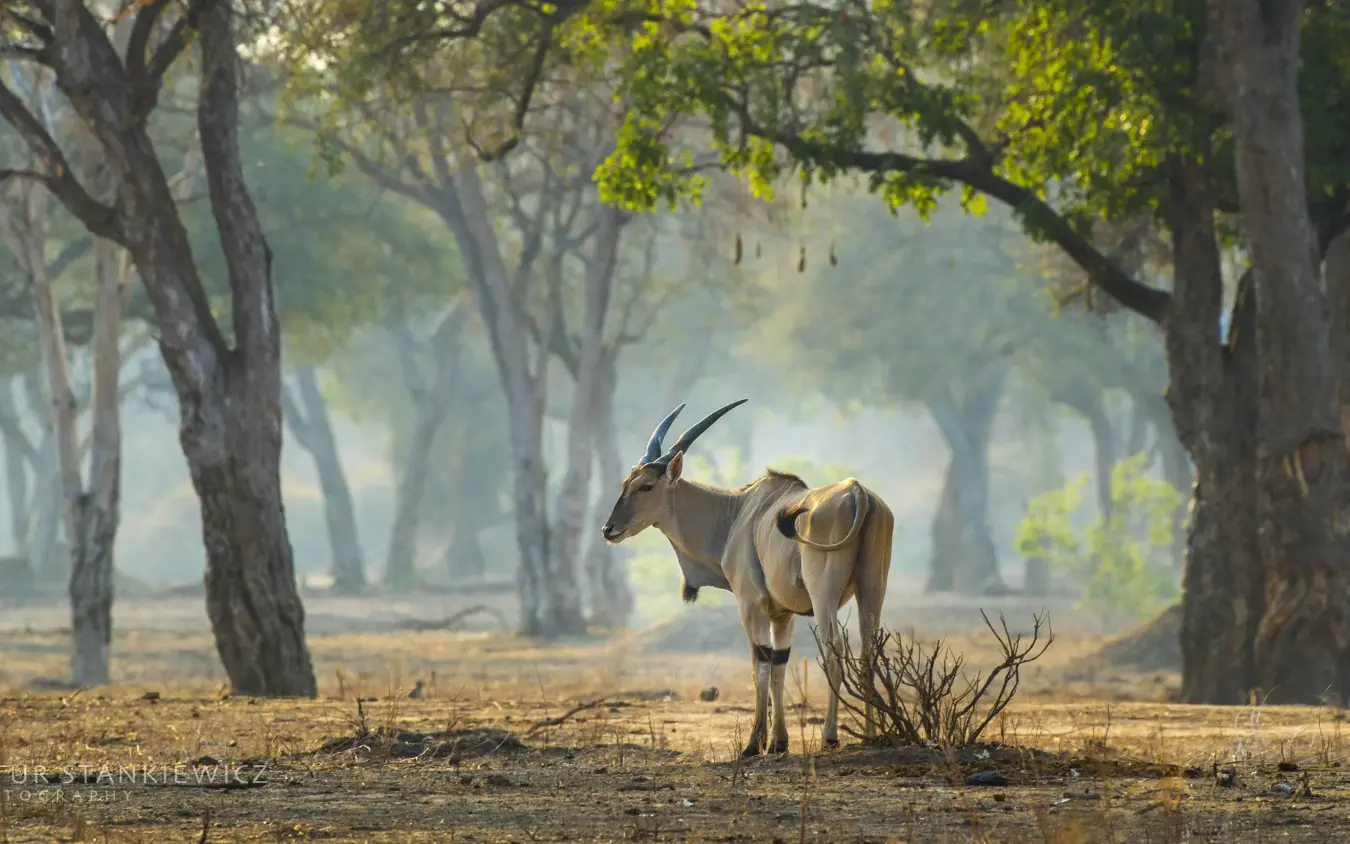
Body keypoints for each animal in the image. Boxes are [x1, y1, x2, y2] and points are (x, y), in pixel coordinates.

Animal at [601, 399, 894, 756]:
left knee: (834, 649)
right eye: (625, 484)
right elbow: (779, 664)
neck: (737, 512)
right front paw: (779, 742)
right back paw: (872, 734)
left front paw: (756, 743)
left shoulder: (751, 604)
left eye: (646, 486)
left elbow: (761, 664)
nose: (609, 529)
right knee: (868, 651)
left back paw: (830, 736)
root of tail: (857, 492)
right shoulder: (782, 615)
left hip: (823, 596)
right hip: (872, 589)